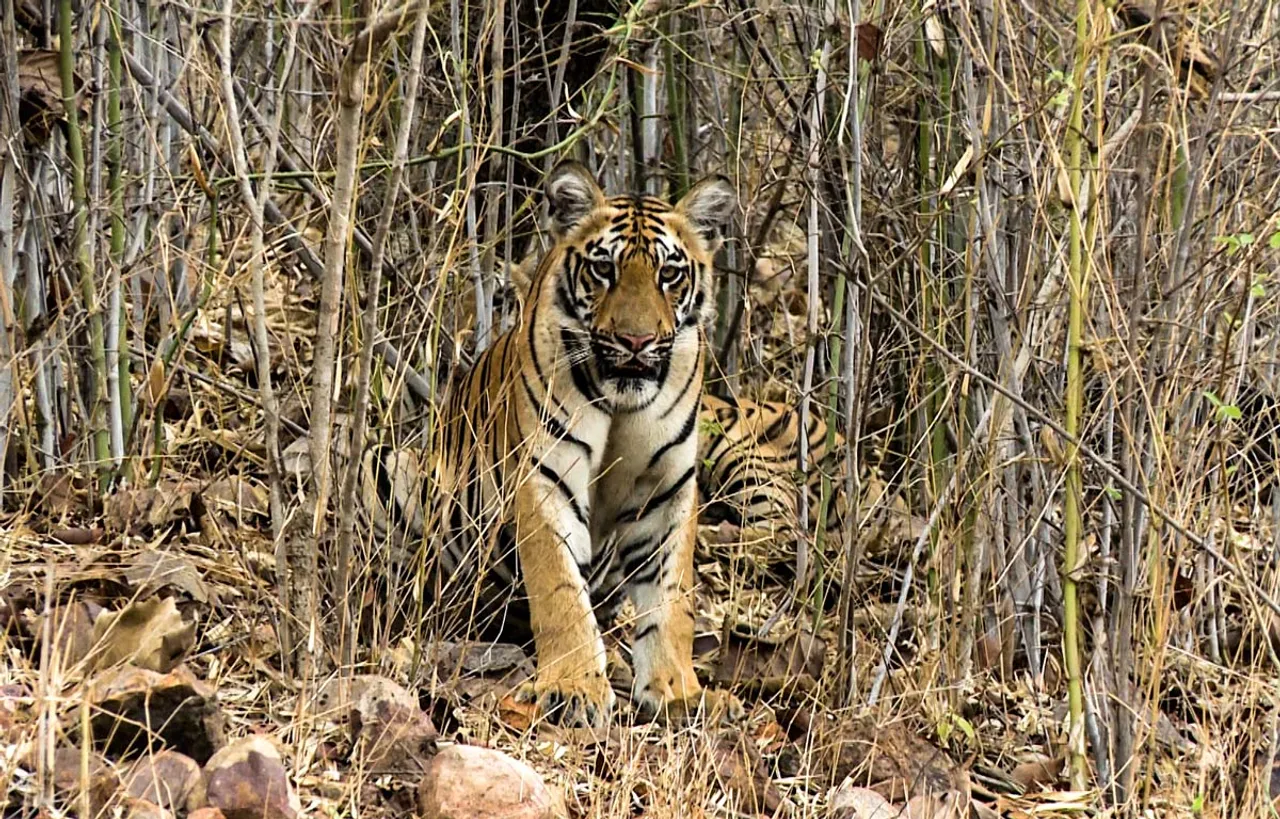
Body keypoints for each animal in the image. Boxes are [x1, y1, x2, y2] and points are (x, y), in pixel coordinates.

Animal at [366, 161, 747, 726]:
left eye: (669, 274)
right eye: (604, 269)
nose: (635, 341)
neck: (623, 405)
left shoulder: (668, 491)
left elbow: (671, 600)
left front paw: (678, 691)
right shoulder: (546, 478)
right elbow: (559, 588)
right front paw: (574, 689)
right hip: (391, 467)